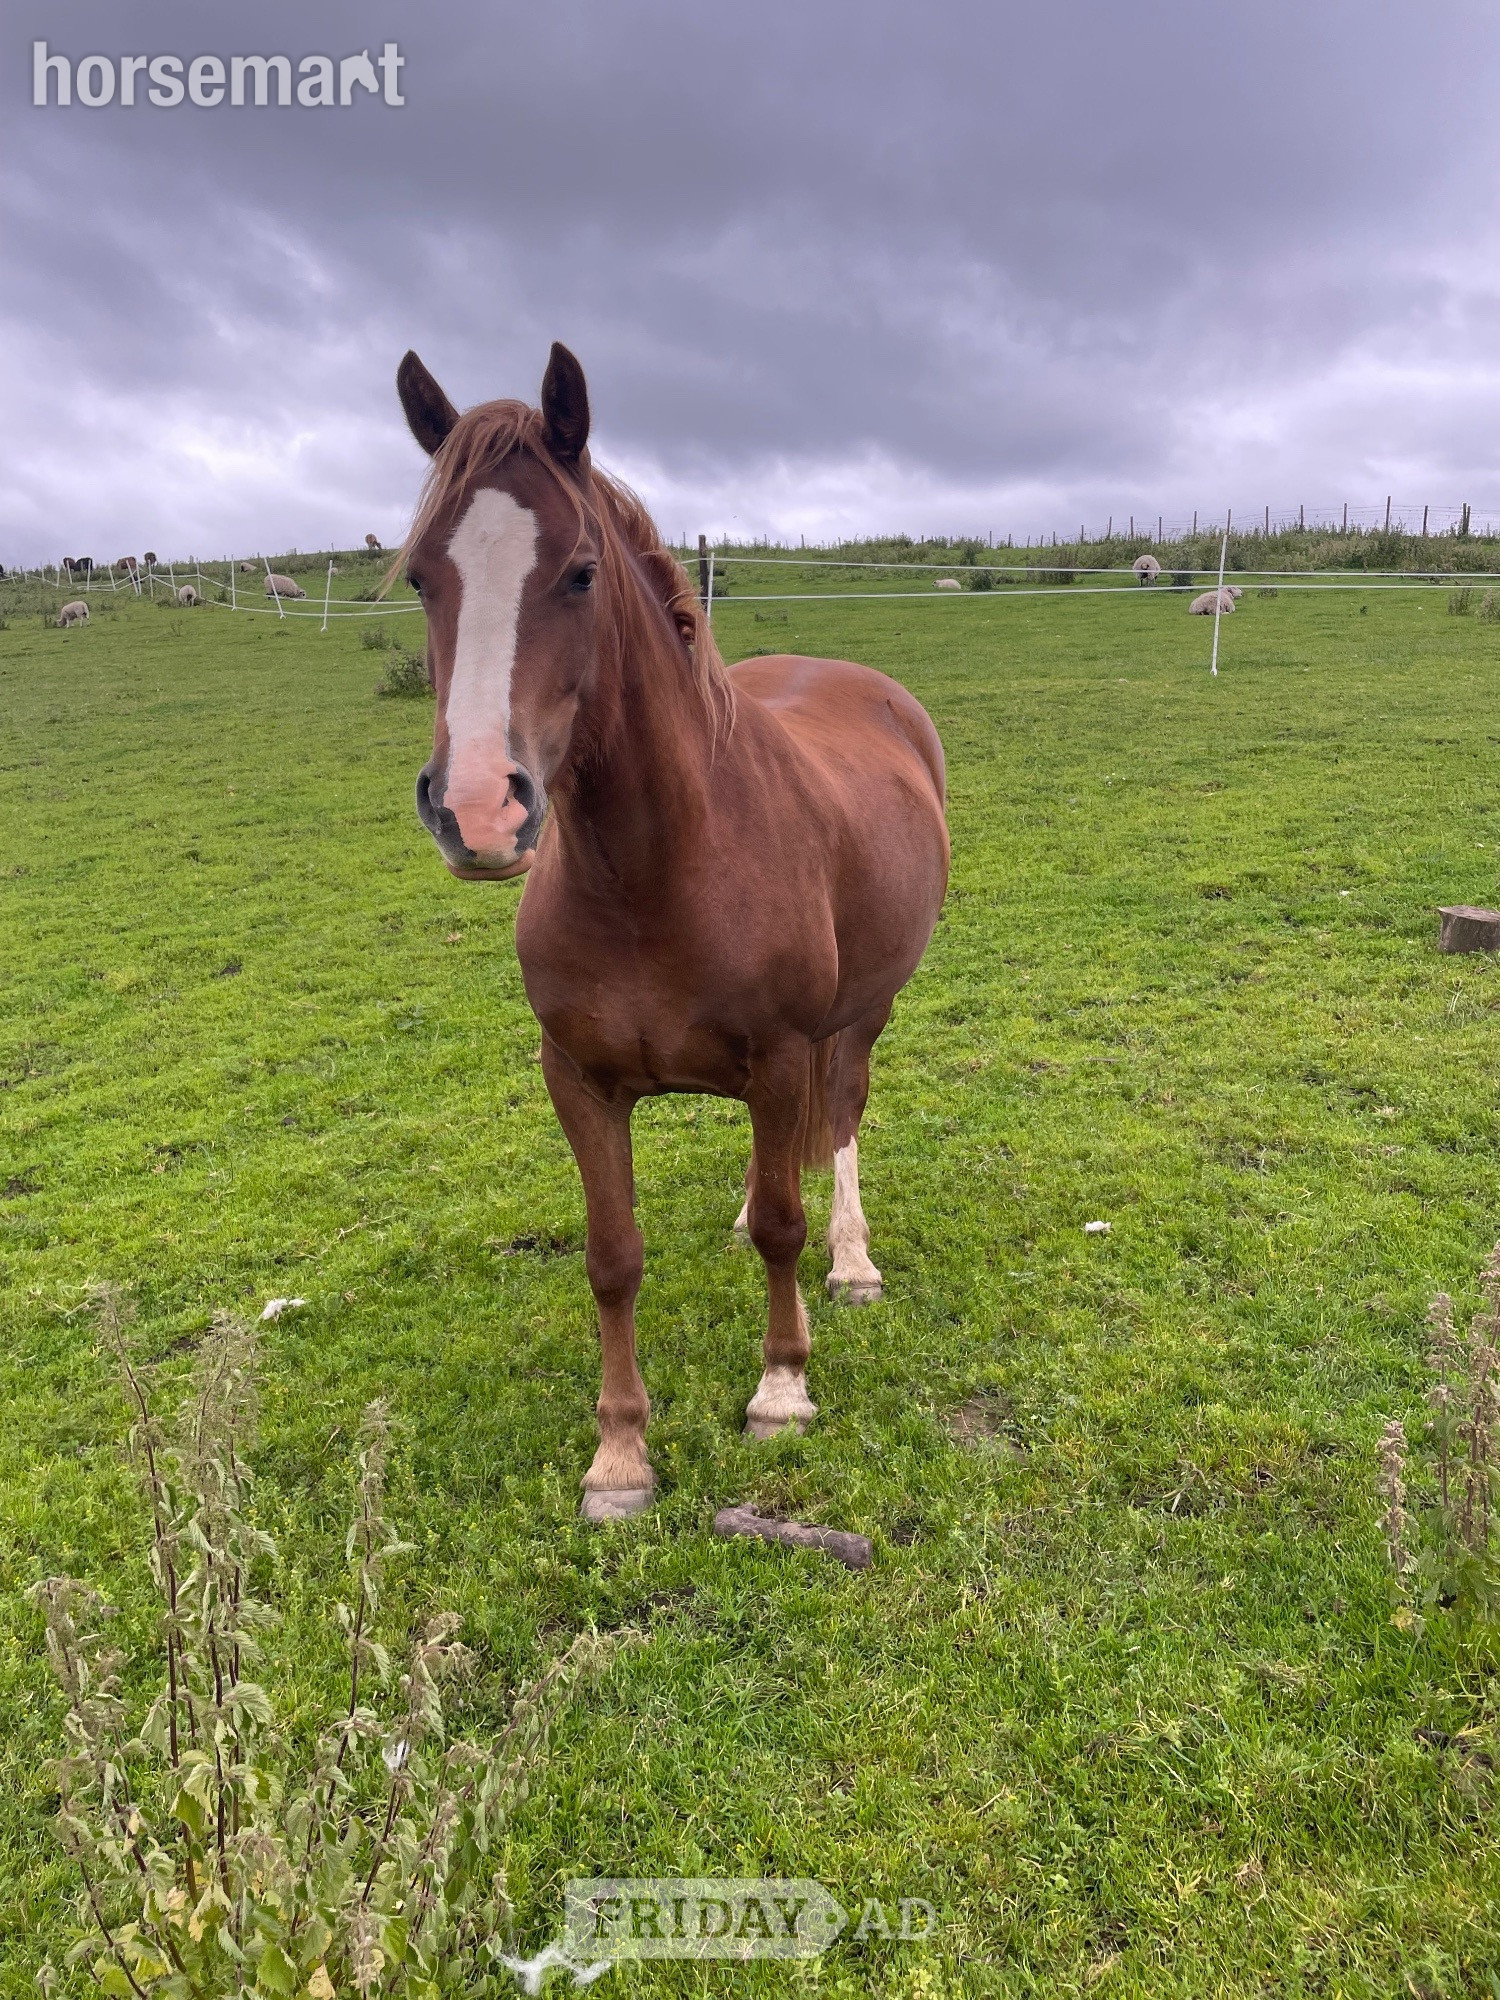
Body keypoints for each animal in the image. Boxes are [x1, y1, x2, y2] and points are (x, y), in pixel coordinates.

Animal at [393, 342, 950, 1521]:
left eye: (579, 571)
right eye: (421, 573)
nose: (479, 809)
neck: (654, 873)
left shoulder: (783, 1051)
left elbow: (787, 1222)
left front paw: (782, 1389)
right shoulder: (579, 1078)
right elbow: (613, 1254)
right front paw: (620, 1452)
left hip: (864, 1012)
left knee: (838, 1117)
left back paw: (852, 1262)